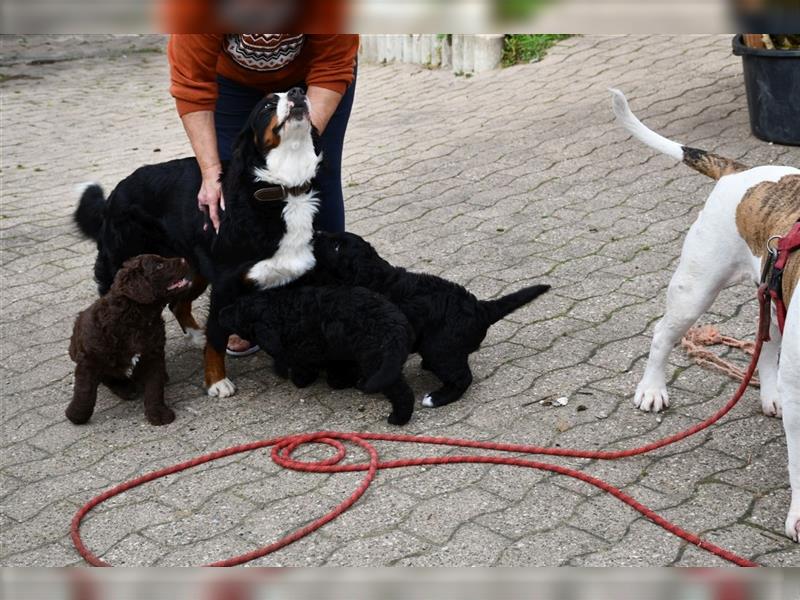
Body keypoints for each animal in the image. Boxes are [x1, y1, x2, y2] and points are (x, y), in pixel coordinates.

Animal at [73, 88, 320, 398]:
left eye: (299, 90)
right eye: (267, 106)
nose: (298, 92)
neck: (281, 188)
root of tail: (115, 193)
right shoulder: (226, 282)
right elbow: (216, 338)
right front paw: (216, 381)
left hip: (190, 268)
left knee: (177, 304)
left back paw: (194, 335)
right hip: (122, 267)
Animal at [310, 230, 552, 408]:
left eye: (336, 247)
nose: (315, 232)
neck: (375, 278)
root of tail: (481, 308)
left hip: (440, 349)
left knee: (463, 377)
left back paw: (436, 398)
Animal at [608, 90, 796, 544]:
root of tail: (741, 171)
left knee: (767, 346)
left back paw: (771, 396)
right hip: (695, 287)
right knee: (662, 335)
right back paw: (652, 389)